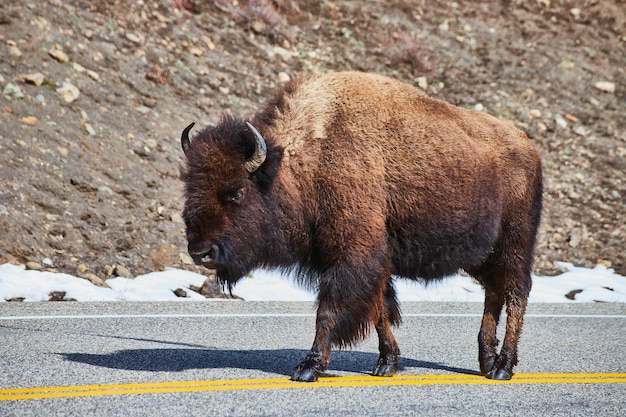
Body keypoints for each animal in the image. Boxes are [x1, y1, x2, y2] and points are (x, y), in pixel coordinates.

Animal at [178, 70, 540, 380]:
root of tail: (529, 146)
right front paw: (386, 363)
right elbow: (379, 309)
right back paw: (487, 361)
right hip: (479, 256)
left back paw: (503, 367)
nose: (200, 251)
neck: (306, 162)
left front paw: (308, 367)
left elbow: (330, 310)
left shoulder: (352, 256)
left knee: (516, 292)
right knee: (494, 291)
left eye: (237, 192)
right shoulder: (368, 261)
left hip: (514, 244)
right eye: (190, 187)